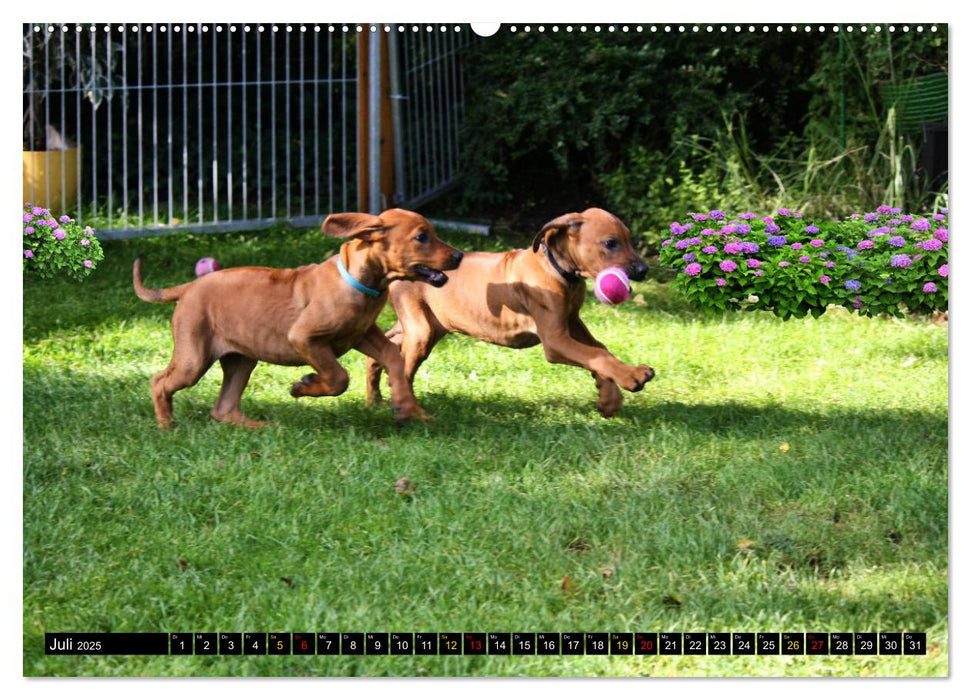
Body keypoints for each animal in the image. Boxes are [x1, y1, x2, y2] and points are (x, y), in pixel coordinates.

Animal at [133, 208, 464, 426]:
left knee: (223, 408)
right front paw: (304, 386)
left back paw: (258, 428)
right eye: (422, 236)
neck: (361, 283)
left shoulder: (363, 334)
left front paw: (409, 409)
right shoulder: (306, 338)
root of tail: (188, 287)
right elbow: (338, 377)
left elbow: (394, 359)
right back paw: (167, 425)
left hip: (241, 359)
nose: (459, 256)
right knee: (160, 382)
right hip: (194, 357)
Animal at [368, 206, 656, 416]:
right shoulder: (556, 340)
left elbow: (598, 349)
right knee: (402, 367)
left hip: (427, 326)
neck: (556, 269)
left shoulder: (572, 322)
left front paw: (609, 397)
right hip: (421, 330)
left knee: (383, 351)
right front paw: (631, 376)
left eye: (630, 240)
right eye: (611, 243)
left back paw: (374, 401)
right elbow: (595, 354)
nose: (644, 271)